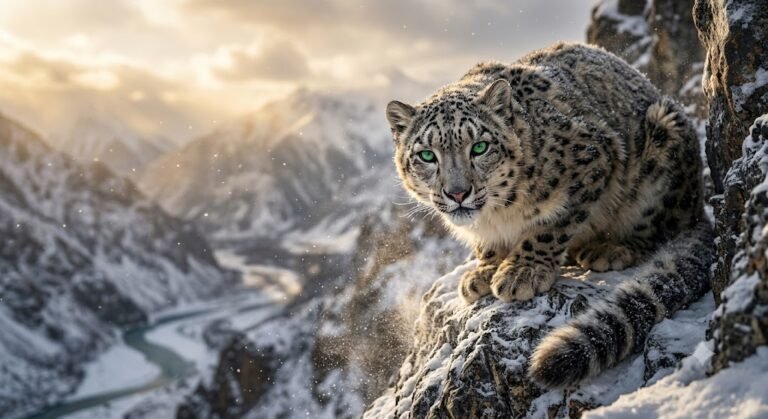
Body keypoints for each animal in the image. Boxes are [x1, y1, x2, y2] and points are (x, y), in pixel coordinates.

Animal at [385, 42, 714, 389]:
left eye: (479, 147)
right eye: (426, 155)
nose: (457, 193)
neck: (496, 215)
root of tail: (698, 203)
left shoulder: (592, 159)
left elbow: (550, 226)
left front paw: (522, 272)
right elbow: (489, 245)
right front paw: (485, 270)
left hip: (662, 151)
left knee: (658, 229)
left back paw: (609, 249)